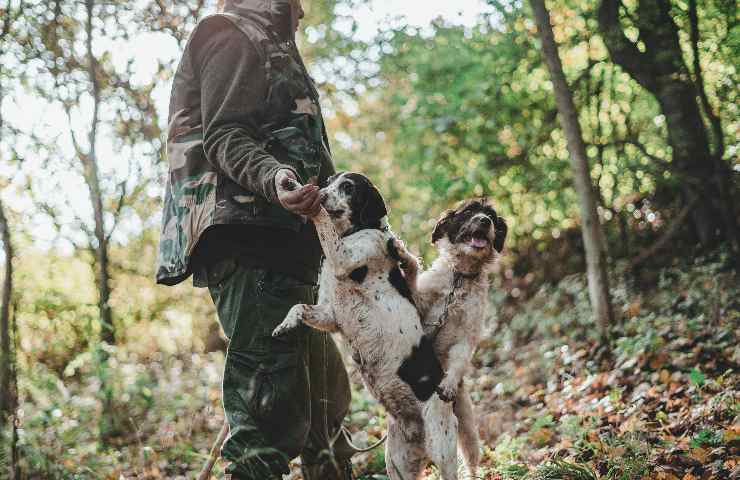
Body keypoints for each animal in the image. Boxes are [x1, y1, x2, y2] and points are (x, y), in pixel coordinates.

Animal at [272, 172, 462, 480]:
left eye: (348, 187)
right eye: (328, 180)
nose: (320, 191)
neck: (355, 232)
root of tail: (417, 433)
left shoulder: (343, 256)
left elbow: (321, 217)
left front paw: (309, 201)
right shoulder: (329, 315)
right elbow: (298, 307)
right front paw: (285, 324)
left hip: (442, 447)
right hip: (396, 462)